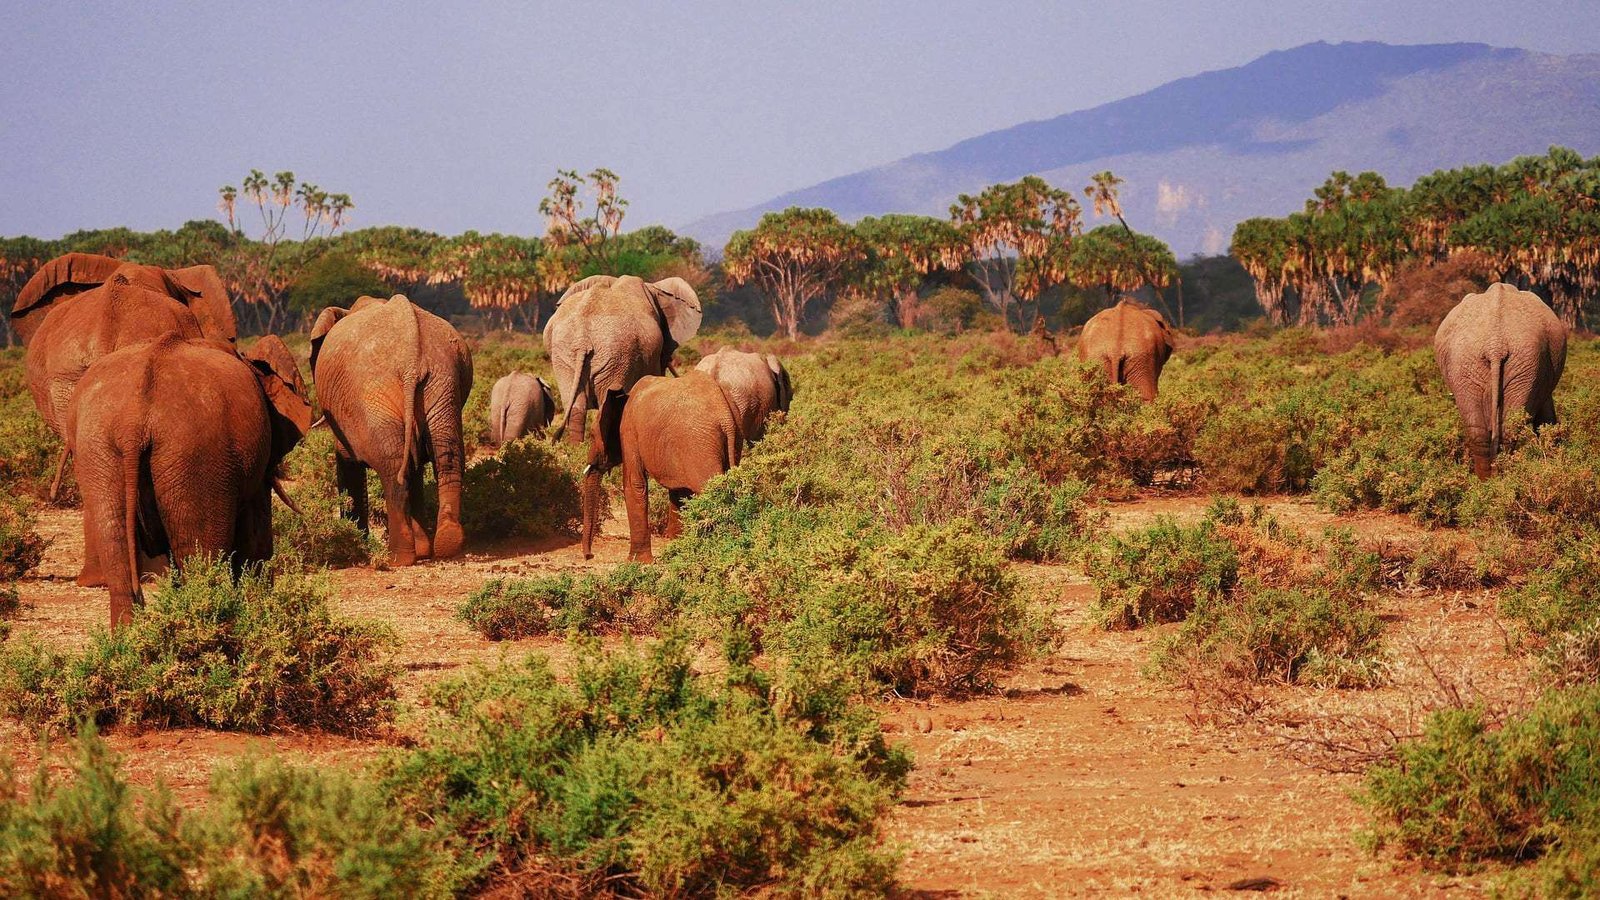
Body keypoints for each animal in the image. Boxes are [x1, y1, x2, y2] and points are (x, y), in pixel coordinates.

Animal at [65, 333, 310, 627]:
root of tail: (132, 422)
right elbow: (256, 537)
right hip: (197, 453)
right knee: (199, 556)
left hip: (99, 448)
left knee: (116, 543)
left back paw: (131, 635)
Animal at [310, 293, 470, 560]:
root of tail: (411, 361)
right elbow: (415, 464)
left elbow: (347, 462)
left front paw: (357, 545)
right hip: (443, 379)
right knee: (446, 456)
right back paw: (445, 544)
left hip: (371, 391)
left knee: (394, 466)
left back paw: (398, 557)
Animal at [582, 368, 742, 557]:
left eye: (592, 435)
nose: (590, 556)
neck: (623, 397)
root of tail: (725, 416)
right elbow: (679, 492)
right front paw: (676, 549)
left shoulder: (629, 431)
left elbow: (634, 484)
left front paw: (636, 560)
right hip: (734, 436)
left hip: (700, 444)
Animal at [1440, 280, 1561, 477]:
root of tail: (1495, 344)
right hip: (1484, 360)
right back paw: (1497, 479)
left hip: (1490, 361)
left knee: (1486, 432)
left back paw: (1489, 481)